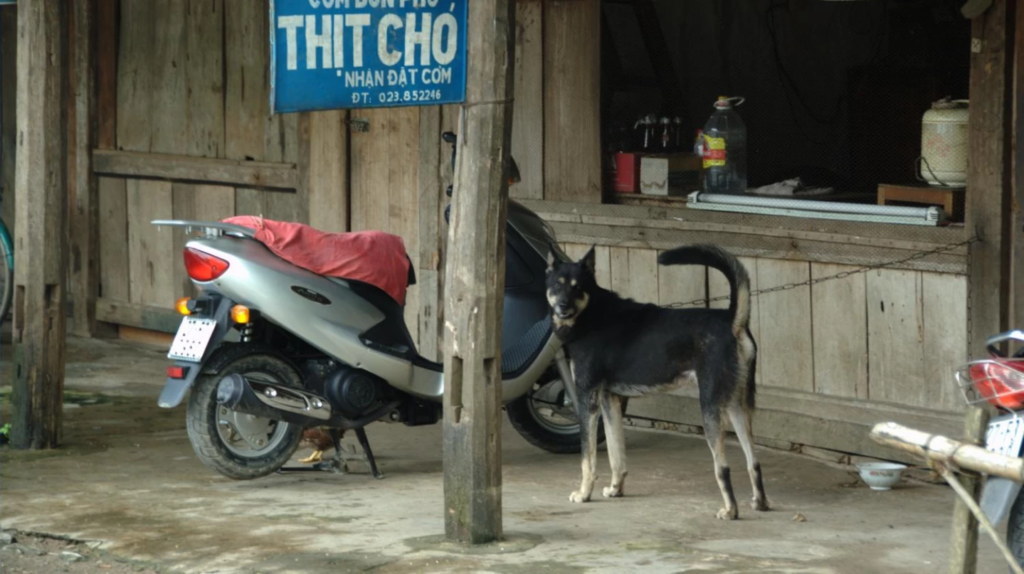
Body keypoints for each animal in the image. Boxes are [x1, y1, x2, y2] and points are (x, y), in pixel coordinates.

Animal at [544, 242, 770, 519]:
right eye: (557, 286)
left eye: (577, 287)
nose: (563, 306)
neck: (592, 313)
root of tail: (733, 320)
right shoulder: (610, 400)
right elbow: (616, 454)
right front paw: (616, 488)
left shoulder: (588, 398)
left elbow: (588, 457)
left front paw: (584, 493)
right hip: (737, 406)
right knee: (754, 461)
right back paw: (760, 502)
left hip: (711, 407)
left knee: (723, 468)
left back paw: (730, 510)